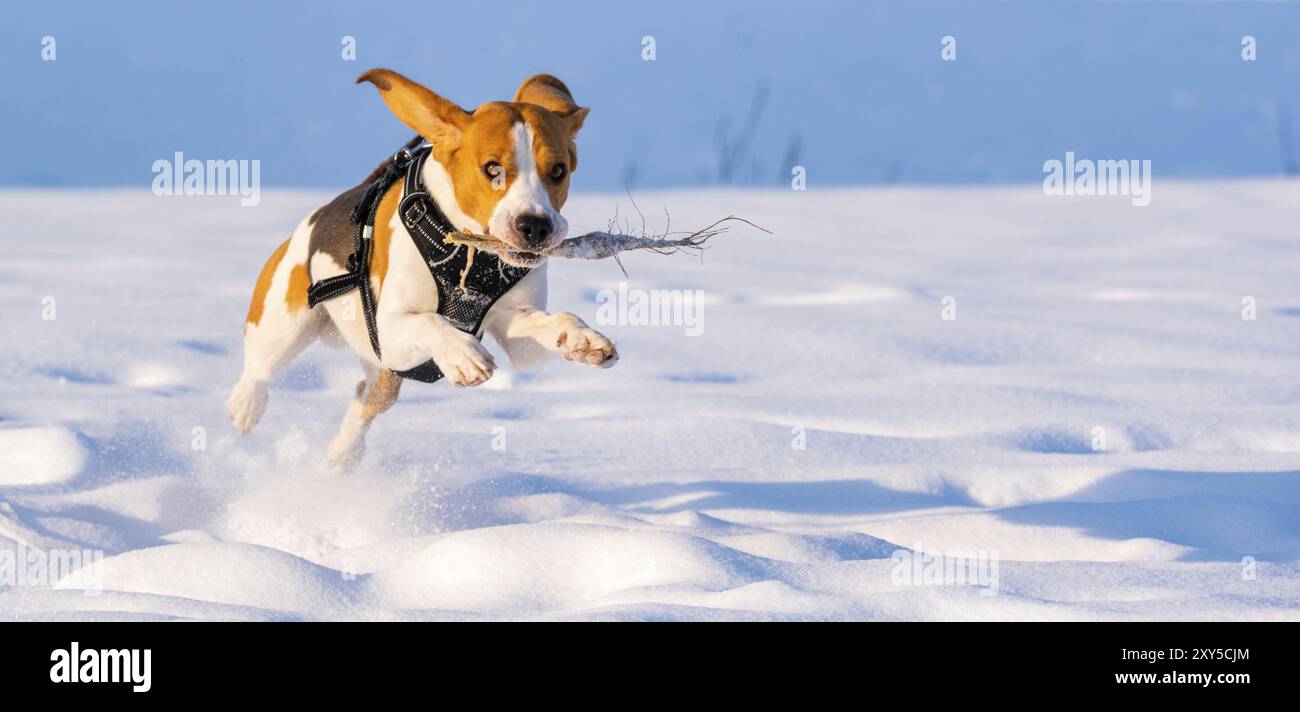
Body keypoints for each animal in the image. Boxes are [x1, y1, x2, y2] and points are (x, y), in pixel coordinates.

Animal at [228, 70, 618, 472]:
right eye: (492, 168)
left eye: (558, 170)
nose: (536, 226)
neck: (472, 257)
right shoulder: (387, 331)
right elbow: (431, 322)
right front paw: (462, 354)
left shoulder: (516, 331)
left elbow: (555, 322)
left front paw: (582, 339)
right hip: (284, 323)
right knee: (259, 367)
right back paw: (246, 405)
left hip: (384, 373)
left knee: (366, 398)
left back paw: (342, 456)